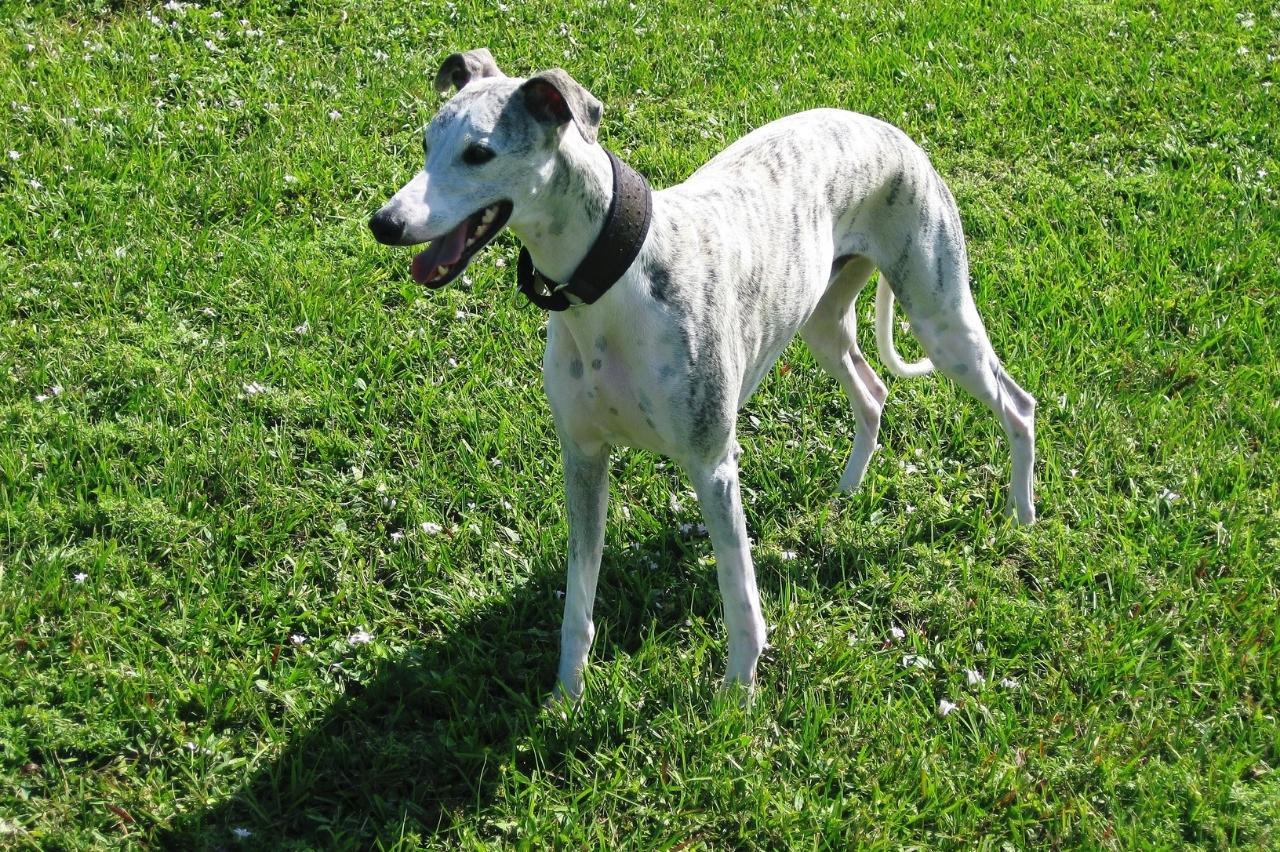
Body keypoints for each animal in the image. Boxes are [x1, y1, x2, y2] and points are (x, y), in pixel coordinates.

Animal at [371, 46, 1039, 701]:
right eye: (427, 141)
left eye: (478, 153)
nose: (384, 223)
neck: (613, 281)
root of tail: (891, 132)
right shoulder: (583, 458)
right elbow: (578, 600)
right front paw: (566, 695)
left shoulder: (712, 463)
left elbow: (739, 596)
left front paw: (737, 700)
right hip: (821, 320)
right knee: (872, 392)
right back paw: (847, 493)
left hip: (940, 315)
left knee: (1017, 403)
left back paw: (1022, 517)